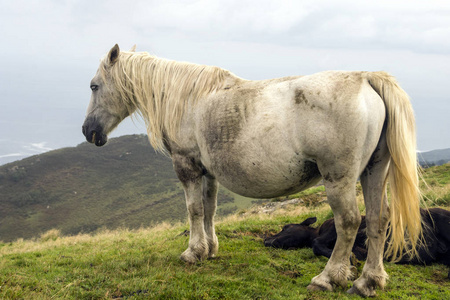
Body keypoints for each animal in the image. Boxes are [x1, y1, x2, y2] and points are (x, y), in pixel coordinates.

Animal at [82, 44, 424, 296]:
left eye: (94, 86)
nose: (88, 131)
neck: (190, 99)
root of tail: (366, 78)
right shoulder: (209, 172)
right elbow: (209, 209)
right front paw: (210, 250)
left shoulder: (187, 165)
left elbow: (194, 210)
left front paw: (193, 252)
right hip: (374, 172)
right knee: (378, 220)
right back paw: (369, 281)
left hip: (338, 178)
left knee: (349, 222)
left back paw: (327, 278)